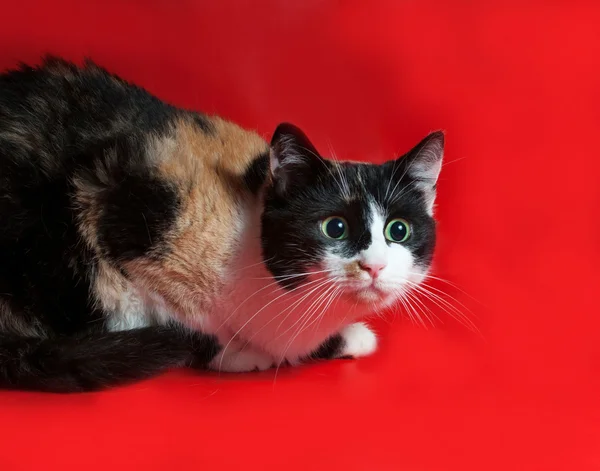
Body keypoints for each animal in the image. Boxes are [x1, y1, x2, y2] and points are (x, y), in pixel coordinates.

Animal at [0, 57, 442, 392]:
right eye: (335, 228)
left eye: (398, 230)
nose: (374, 266)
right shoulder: (123, 210)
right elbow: (168, 317)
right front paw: (237, 353)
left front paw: (350, 336)